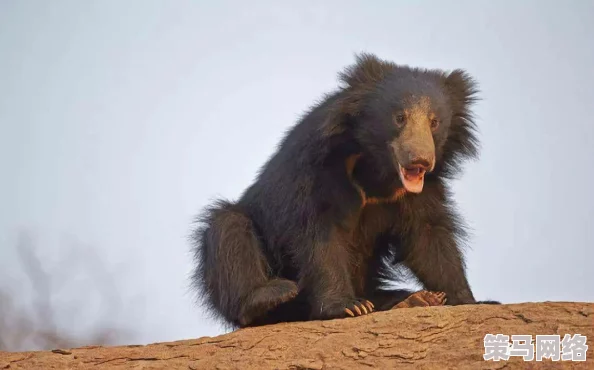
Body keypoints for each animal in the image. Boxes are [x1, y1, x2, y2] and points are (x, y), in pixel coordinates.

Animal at [190, 52, 494, 326]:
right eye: (399, 118)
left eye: (434, 122)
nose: (419, 160)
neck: (377, 168)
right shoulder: (320, 170)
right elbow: (320, 235)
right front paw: (347, 307)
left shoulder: (420, 191)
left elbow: (429, 236)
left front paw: (469, 300)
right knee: (228, 228)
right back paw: (270, 295)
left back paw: (415, 300)